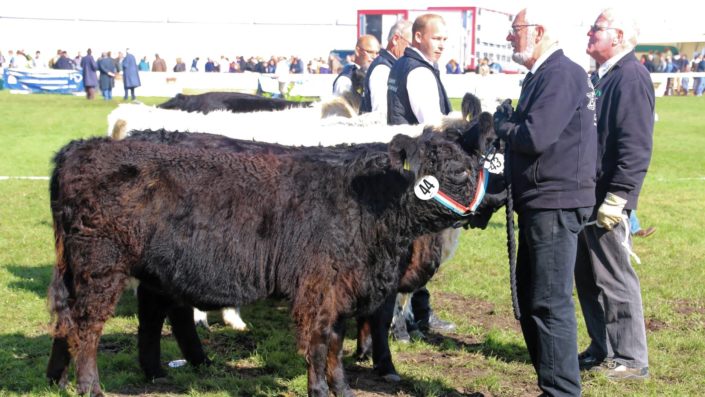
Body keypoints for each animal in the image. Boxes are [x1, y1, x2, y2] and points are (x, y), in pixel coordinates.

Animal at [46, 125, 492, 394]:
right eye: (456, 171)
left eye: (473, 165)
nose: (482, 207)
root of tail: (80, 147)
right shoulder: (319, 287)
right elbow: (318, 343)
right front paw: (319, 390)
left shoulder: (341, 287)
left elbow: (336, 343)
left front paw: (343, 389)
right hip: (101, 266)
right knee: (86, 326)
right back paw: (90, 387)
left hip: (91, 268)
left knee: (69, 319)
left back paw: (59, 379)